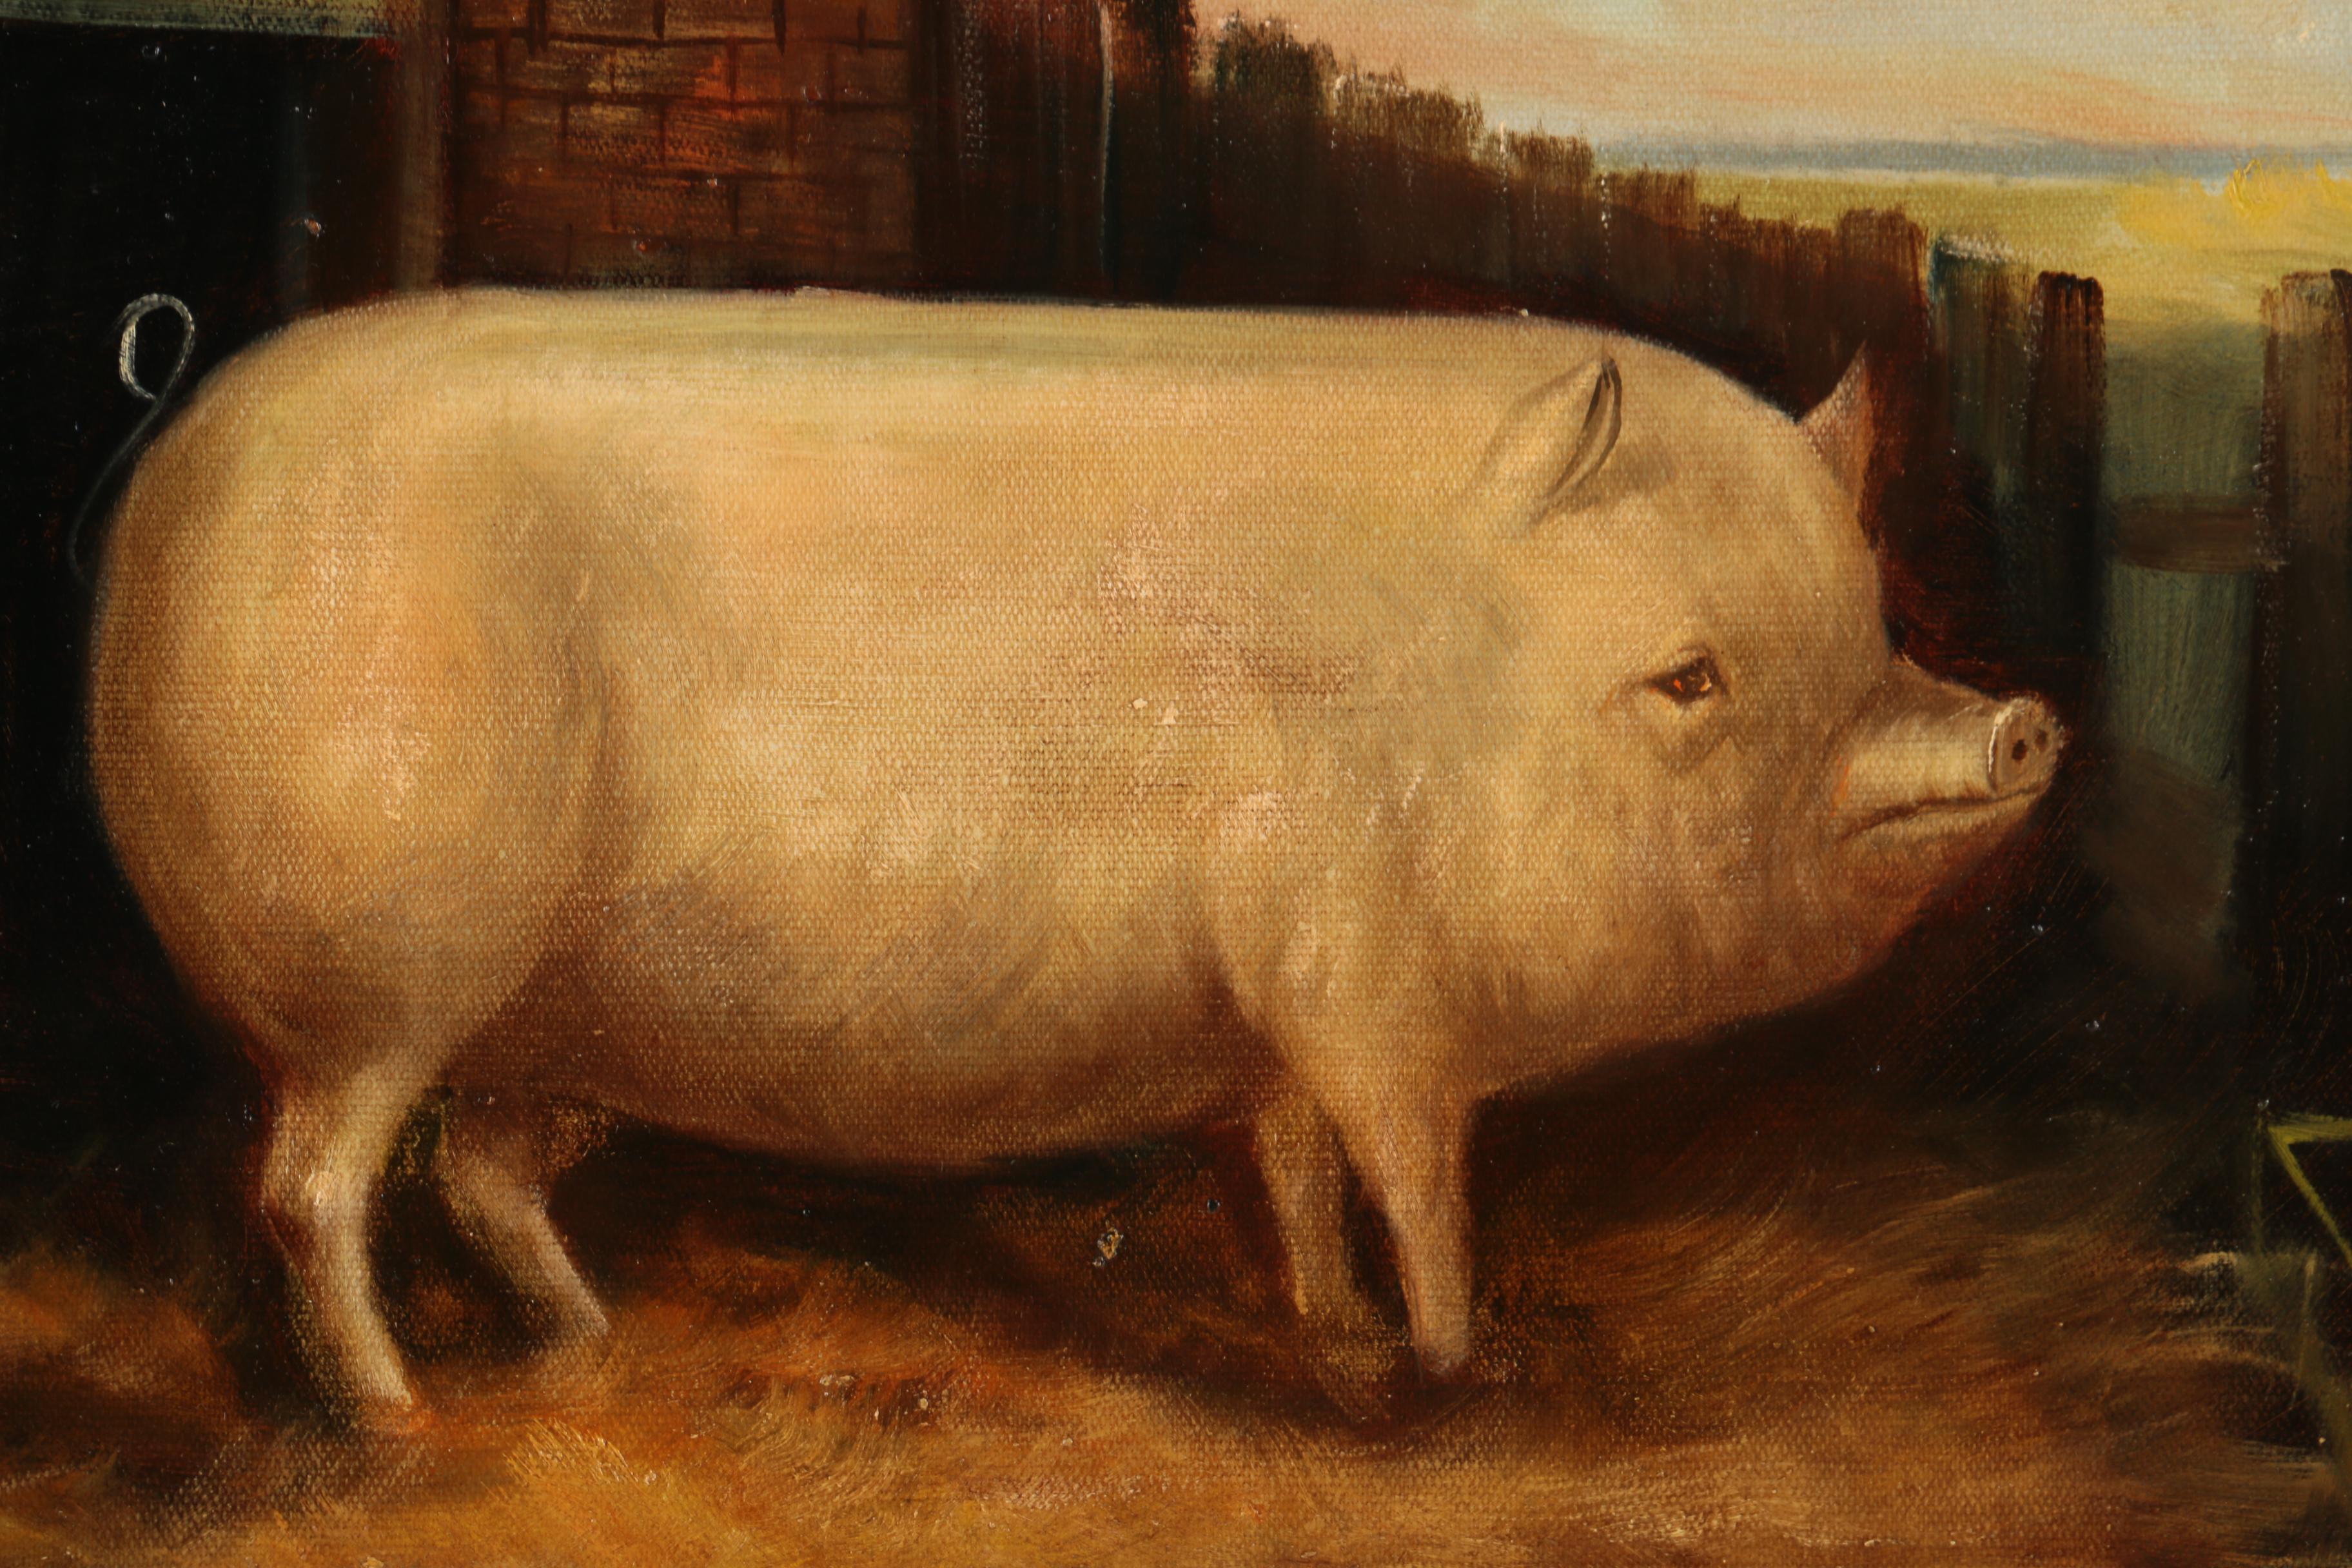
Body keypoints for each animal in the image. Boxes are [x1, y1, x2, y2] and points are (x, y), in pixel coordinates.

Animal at [85, 288, 2061, 1424]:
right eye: (1690, 677)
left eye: (1870, 627)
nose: (2026, 725)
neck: (1444, 691)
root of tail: (171, 486)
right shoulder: (1362, 980)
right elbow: (1414, 1178)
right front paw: (1456, 1366)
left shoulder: (1277, 1022)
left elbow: (1295, 1176)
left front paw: (1347, 1350)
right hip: (380, 971)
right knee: (311, 1187)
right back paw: (395, 1419)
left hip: (557, 1027)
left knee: (481, 1176)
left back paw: (586, 1348)